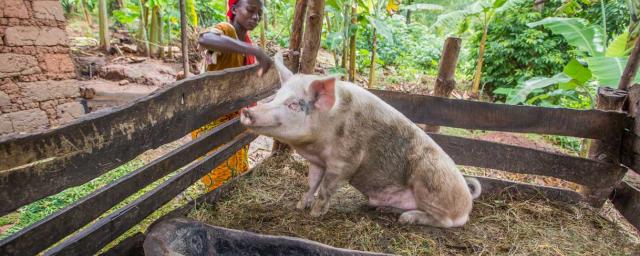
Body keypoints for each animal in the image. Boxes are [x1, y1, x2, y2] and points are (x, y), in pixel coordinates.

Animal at [240, 52, 480, 228]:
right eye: (277, 95)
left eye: (293, 104)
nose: (246, 111)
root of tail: (467, 202)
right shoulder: (317, 162)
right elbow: (312, 183)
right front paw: (299, 206)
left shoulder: (346, 159)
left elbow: (326, 188)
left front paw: (315, 215)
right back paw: (385, 209)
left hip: (431, 181)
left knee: (445, 221)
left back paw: (406, 218)